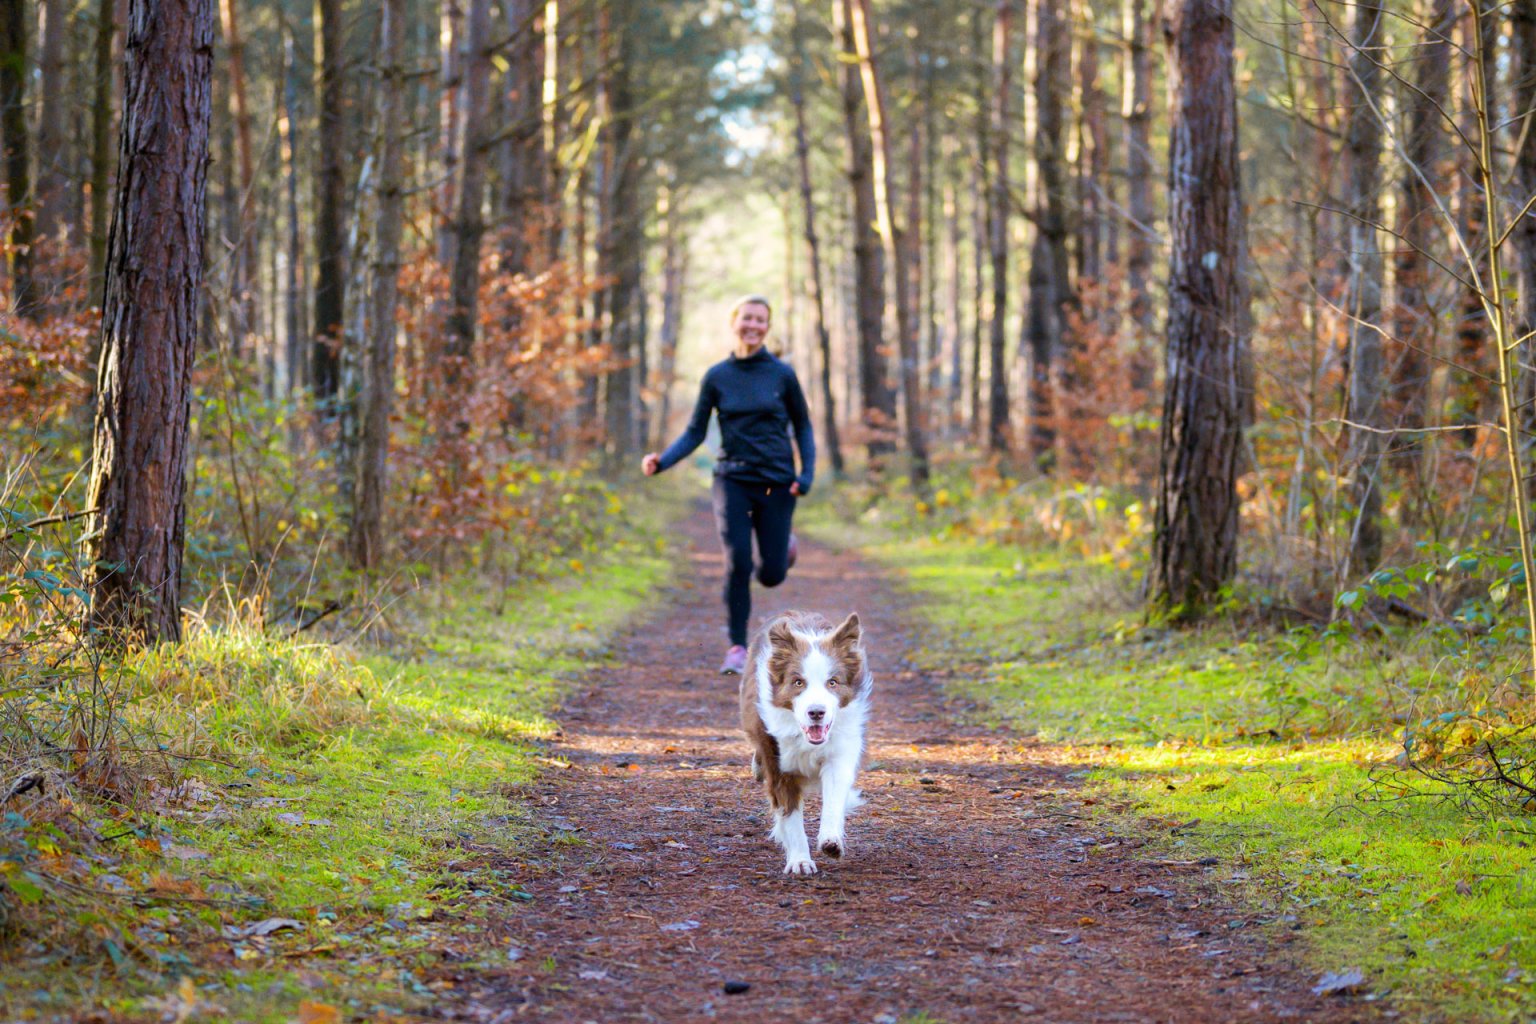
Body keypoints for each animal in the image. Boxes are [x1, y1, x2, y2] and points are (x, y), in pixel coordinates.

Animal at [737, 614, 872, 878]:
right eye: (798, 682)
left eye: (833, 682)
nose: (816, 712)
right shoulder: (780, 767)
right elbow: (791, 818)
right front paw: (800, 860)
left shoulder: (838, 755)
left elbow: (833, 800)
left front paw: (831, 840)